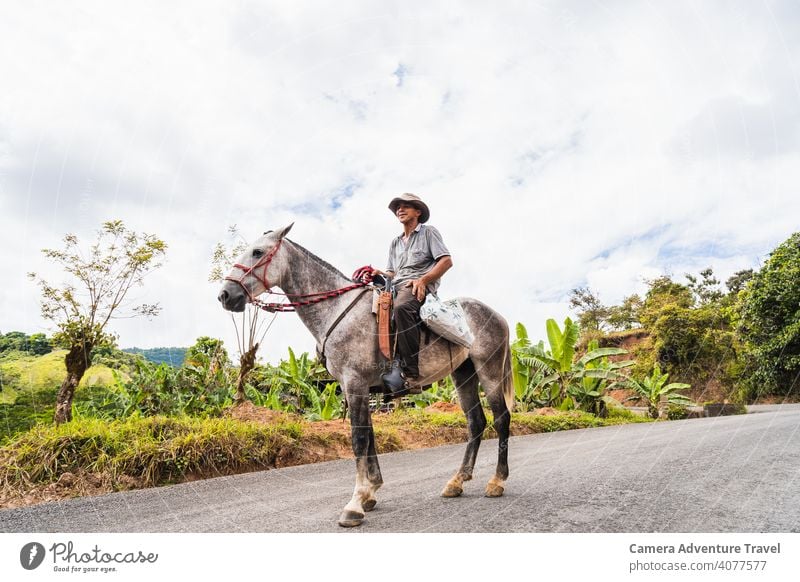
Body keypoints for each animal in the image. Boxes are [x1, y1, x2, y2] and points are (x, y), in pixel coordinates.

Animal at [217, 226, 512, 532]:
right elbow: (369, 437)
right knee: (475, 422)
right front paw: (371, 491)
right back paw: (458, 481)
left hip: (489, 370)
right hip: (463, 374)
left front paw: (355, 503)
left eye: (257, 252)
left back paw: (497, 480)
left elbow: (358, 439)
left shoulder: (355, 383)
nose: (225, 295)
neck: (335, 309)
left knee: (501, 419)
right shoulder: (357, 388)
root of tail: (497, 316)